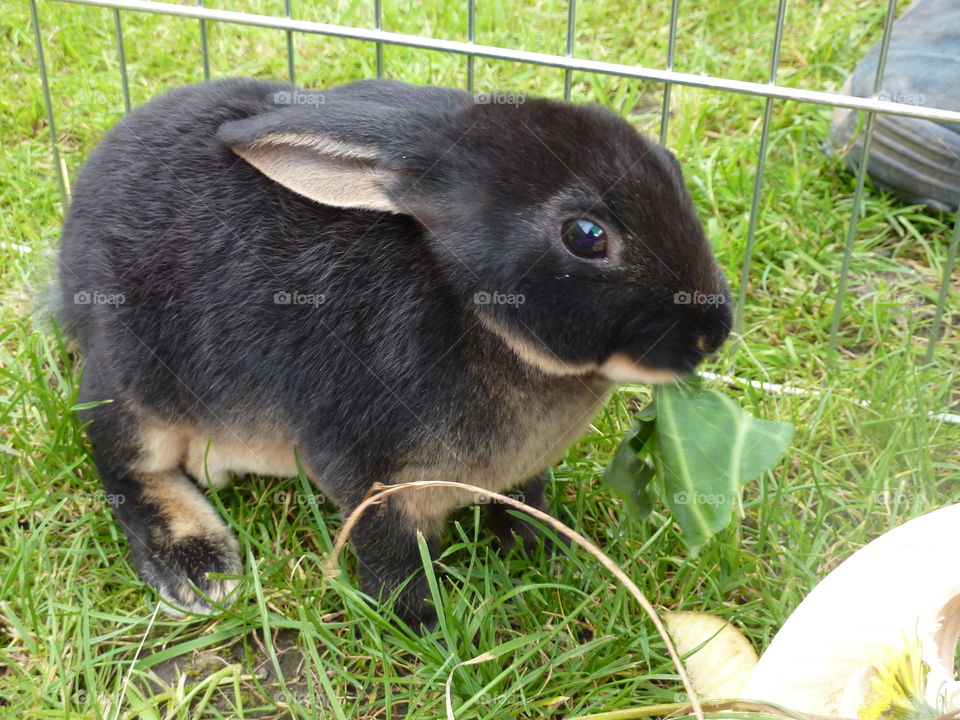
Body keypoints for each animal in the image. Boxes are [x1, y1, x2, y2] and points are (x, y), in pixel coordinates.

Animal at [60, 77, 732, 632]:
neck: (477, 313)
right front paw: (423, 624)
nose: (712, 332)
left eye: (672, 169)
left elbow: (529, 506)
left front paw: (548, 555)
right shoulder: (369, 475)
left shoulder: (519, 475)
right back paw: (197, 567)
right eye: (586, 236)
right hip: (136, 390)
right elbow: (391, 554)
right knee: (124, 467)